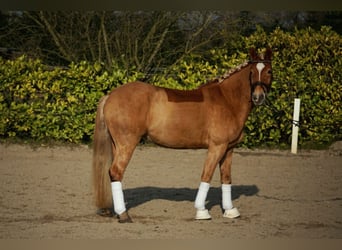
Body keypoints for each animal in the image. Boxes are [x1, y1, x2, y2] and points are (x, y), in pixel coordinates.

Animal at [93, 47, 272, 223]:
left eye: (269, 71)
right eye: (251, 72)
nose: (258, 97)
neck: (227, 100)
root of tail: (111, 96)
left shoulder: (229, 148)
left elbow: (226, 178)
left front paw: (230, 210)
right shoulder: (217, 147)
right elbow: (206, 175)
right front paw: (201, 211)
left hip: (117, 145)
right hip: (127, 144)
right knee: (116, 171)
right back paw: (123, 214)